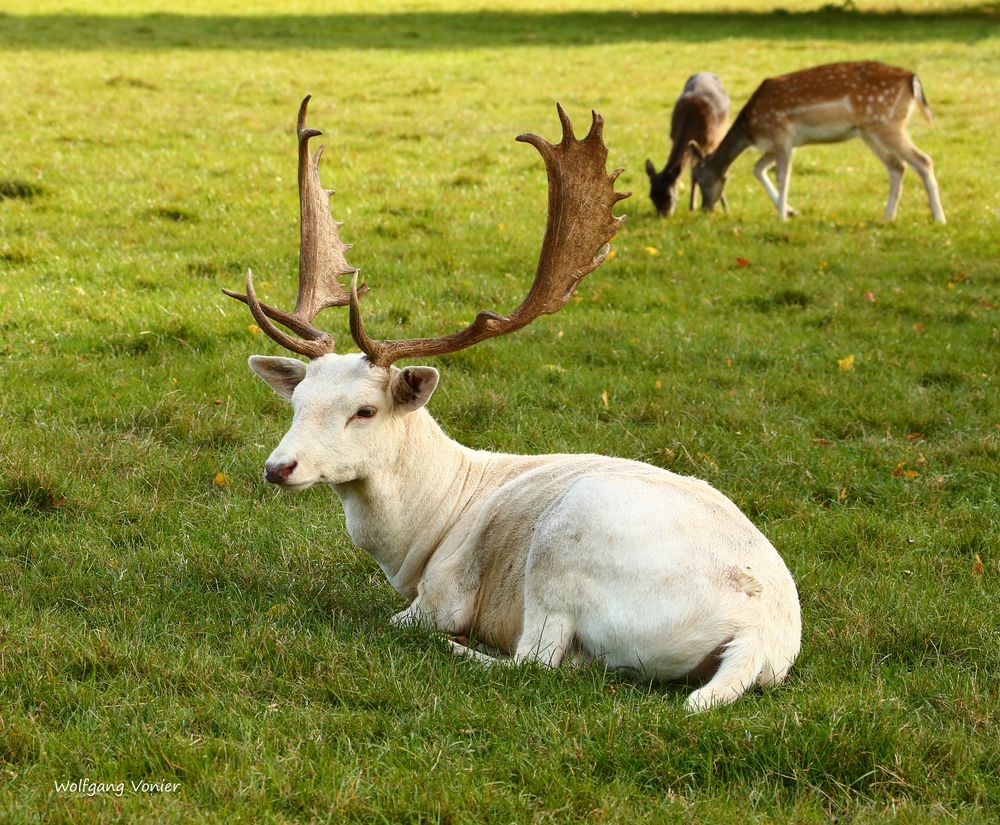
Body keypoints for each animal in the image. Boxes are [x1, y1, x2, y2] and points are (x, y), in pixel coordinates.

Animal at [227, 96, 804, 712]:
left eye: (365, 410)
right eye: (297, 401)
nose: (277, 467)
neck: (423, 535)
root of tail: (758, 639)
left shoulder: (444, 594)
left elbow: (405, 620)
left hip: (565, 543)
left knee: (538, 661)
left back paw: (463, 649)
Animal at [644, 71, 732, 216]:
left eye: (668, 196)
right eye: (651, 196)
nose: (663, 215)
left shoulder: (709, 142)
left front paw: (724, 208)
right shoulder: (675, 137)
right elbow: (693, 173)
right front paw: (692, 207)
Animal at [692, 59, 948, 224]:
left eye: (701, 179)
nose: (705, 209)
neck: (751, 129)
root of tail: (913, 80)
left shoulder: (782, 134)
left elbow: (783, 176)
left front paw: (782, 217)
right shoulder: (780, 144)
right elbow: (757, 168)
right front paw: (791, 211)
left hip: (888, 124)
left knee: (923, 160)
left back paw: (939, 218)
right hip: (870, 132)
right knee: (897, 166)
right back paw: (887, 217)